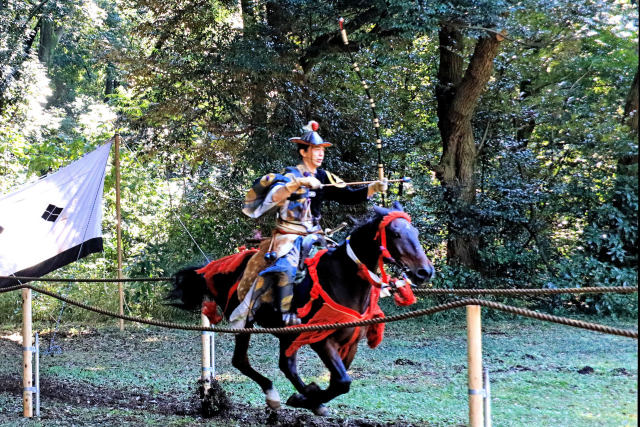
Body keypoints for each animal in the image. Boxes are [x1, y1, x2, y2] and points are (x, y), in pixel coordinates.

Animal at [169, 203, 436, 414]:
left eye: (415, 232)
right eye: (395, 234)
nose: (425, 271)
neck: (342, 279)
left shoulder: (350, 342)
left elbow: (339, 380)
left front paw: (307, 397)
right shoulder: (320, 339)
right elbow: (342, 381)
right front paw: (308, 398)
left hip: (287, 331)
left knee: (286, 365)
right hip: (246, 320)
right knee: (241, 361)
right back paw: (275, 395)